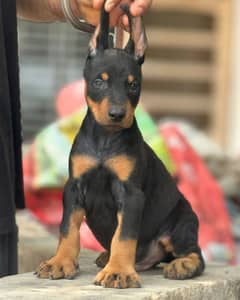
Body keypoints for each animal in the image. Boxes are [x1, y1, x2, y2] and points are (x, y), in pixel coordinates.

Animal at [35, 6, 204, 288]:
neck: (106, 138)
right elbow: (68, 229)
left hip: (181, 221)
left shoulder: (131, 193)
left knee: (195, 253)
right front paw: (59, 262)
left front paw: (119, 272)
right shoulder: (74, 186)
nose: (117, 114)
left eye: (133, 85)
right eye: (99, 82)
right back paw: (106, 257)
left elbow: (123, 236)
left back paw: (181, 265)